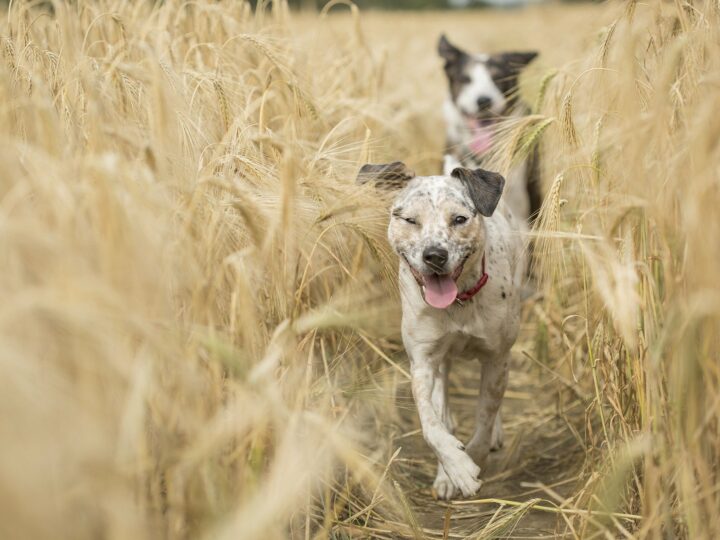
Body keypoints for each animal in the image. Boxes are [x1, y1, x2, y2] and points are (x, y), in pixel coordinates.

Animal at [358, 162, 524, 500]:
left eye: (459, 219)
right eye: (410, 219)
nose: (434, 255)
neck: (459, 302)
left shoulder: (496, 357)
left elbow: (485, 418)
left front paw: (472, 459)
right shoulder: (423, 361)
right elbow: (430, 424)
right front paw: (454, 469)